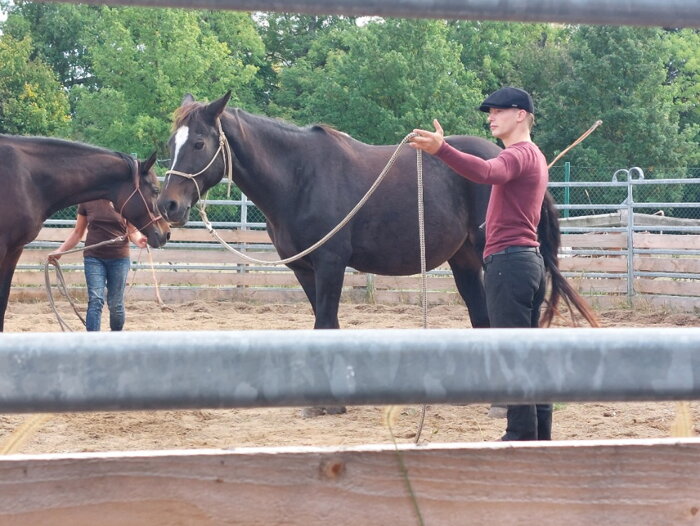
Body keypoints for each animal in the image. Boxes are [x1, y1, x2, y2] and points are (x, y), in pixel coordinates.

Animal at [157, 91, 596, 330]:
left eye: (198, 143)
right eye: (170, 142)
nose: (167, 204)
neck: (300, 177)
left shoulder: (331, 263)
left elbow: (326, 322)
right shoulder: (304, 269)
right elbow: (323, 322)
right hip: (465, 260)